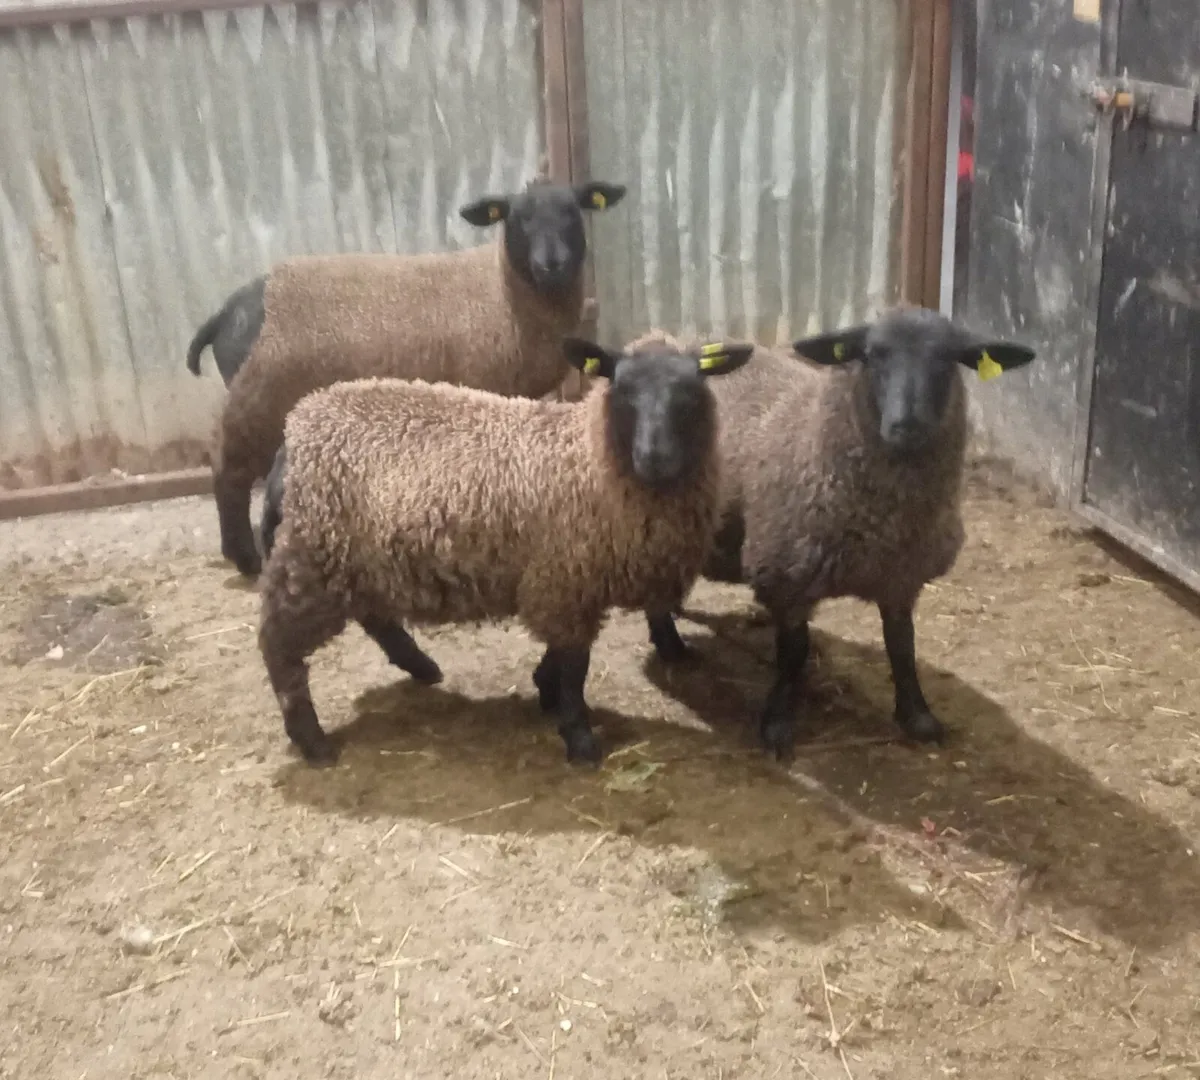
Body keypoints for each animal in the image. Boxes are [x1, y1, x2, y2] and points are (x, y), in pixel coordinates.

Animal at [186, 178, 628, 578]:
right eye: (518, 218)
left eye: (572, 212)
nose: (552, 264)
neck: (503, 291)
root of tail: (229, 310)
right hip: (256, 400)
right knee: (228, 470)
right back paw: (245, 559)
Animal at [257, 333, 754, 767]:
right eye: (623, 388)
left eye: (691, 391)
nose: (656, 459)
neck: (590, 459)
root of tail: (290, 436)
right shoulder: (566, 578)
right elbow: (575, 665)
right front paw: (578, 738)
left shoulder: (564, 580)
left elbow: (561, 653)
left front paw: (545, 691)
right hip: (310, 560)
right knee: (279, 648)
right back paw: (312, 741)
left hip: (357, 558)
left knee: (373, 617)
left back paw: (421, 668)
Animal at [640, 307, 1037, 759]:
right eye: (873, 355)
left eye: (947, 359)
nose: (907, 425)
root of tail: (662, 339)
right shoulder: (788, 578)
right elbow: (794, 653)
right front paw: (777, 722)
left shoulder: (900, 578)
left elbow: (903, 647)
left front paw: (917, 715)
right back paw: (671, 646)